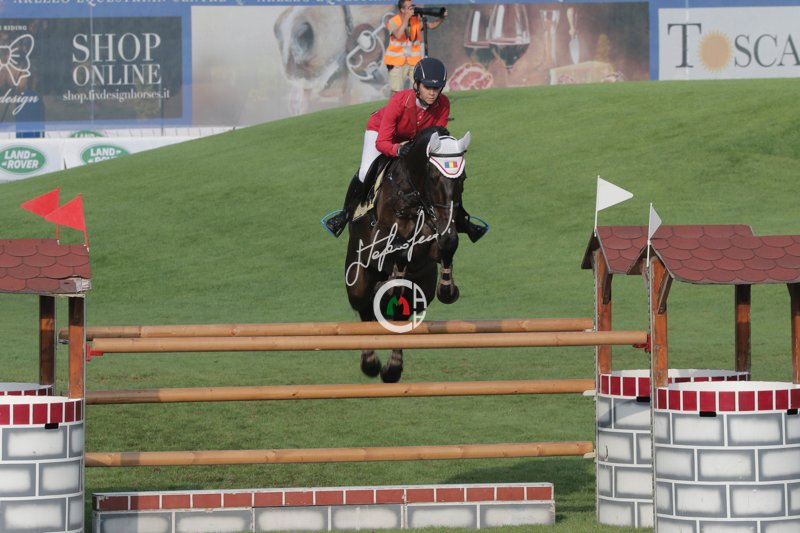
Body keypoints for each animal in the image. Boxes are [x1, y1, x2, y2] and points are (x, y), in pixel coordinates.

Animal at [344, 126, 471, 383]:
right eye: (433, 178)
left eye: (462, 178)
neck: (413, 196)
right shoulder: (381, 239)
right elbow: (401, 249)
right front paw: (391, 281)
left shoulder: (439, 235)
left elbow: (448, 245)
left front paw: (448, 290)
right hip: (357, 279)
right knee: (364, 308)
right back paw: (371, 363)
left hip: (422, 289)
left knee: (399, 316)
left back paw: (392, 369)